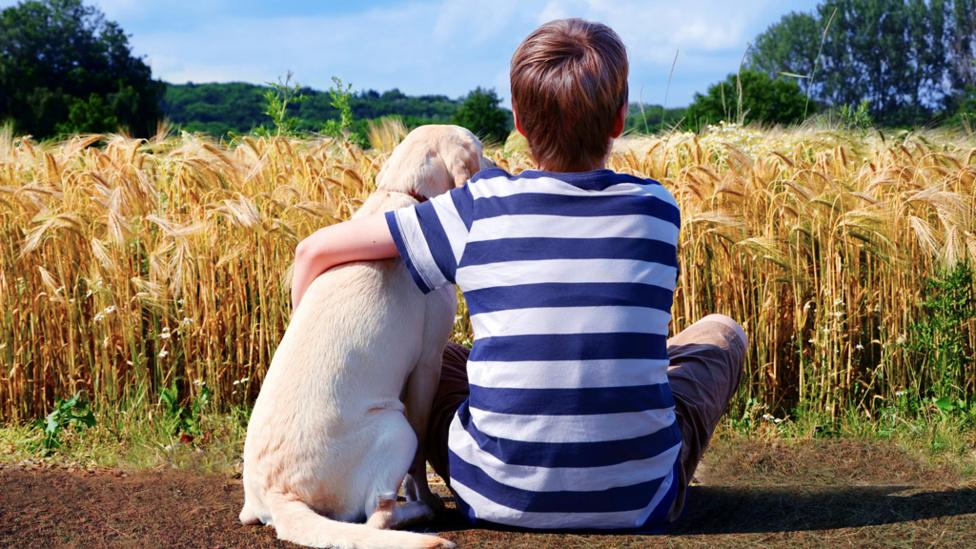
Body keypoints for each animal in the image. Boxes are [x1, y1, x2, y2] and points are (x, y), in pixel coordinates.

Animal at [242, 126, 486, 544]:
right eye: (482, 151)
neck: (404, 193)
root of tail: (278, 494)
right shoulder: (428, 362)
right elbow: (420, 453)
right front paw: (424, 496)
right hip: (395, 426)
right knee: (378, 516)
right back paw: (420, 513)